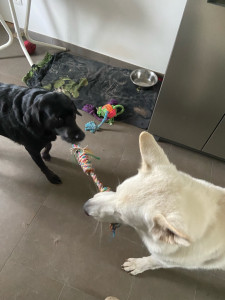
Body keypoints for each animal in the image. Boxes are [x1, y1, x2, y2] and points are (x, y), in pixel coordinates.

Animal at [83, 131, 225, 274]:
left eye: (120, 214)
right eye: (117, 190)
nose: (85, 208)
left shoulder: (169, 261)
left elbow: (153, 260)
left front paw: (138, 265)